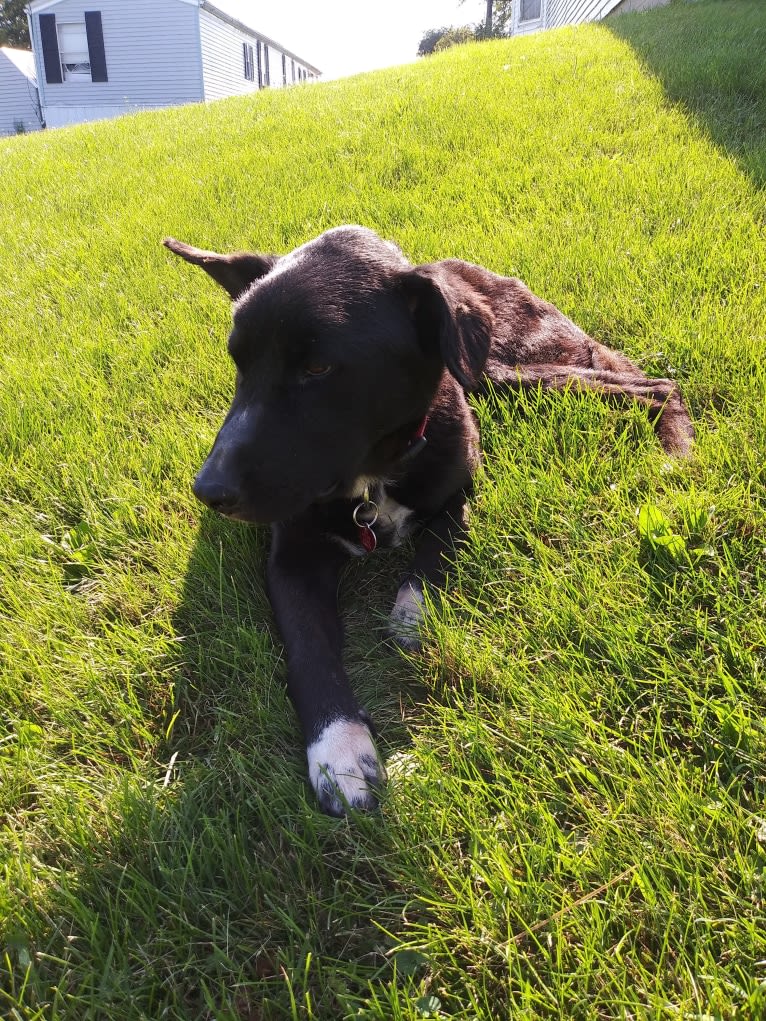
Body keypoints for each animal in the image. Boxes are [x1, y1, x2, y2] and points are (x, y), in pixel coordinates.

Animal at [166, 227, 694, 816]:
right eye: (239, 363)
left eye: (318, 368)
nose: (209, 491)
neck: (371, 478)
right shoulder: (291, 558)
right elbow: (309, 653)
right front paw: (338, 751)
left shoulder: (461, 496)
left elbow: (431, 555)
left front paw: (412, 614)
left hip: (500, 372)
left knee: (656, 384)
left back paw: (677, 451)